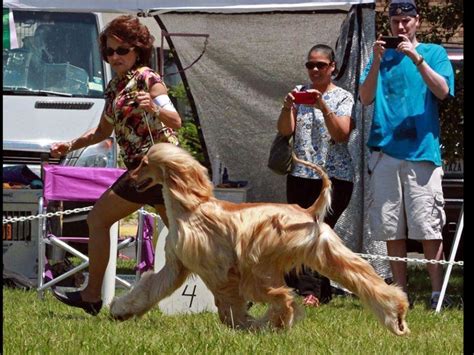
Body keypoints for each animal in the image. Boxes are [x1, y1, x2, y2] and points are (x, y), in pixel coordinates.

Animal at [109, 143, 410, 336]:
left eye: (143, 164)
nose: (125, 182)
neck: (190, 207)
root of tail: (308, 212)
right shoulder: (176, 266)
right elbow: (151, 288)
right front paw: (120, 311)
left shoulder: (218, 271)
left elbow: (227, 307)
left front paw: (244, 324)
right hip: (328, 253)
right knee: (364, 280)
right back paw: (396, 317)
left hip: (258, 265)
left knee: (284, 298)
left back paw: (271, 325)